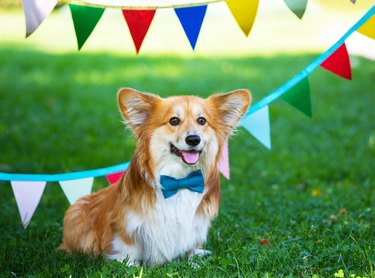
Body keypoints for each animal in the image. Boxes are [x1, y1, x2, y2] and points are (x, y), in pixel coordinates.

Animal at [60, 88, 251, 266]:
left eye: (202, 121)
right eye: (174, 121)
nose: (193, 139)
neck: (179, 180)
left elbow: (190, 248)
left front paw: (194, 261)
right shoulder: (127, 227)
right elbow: (128, 250)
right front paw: (130, 267)